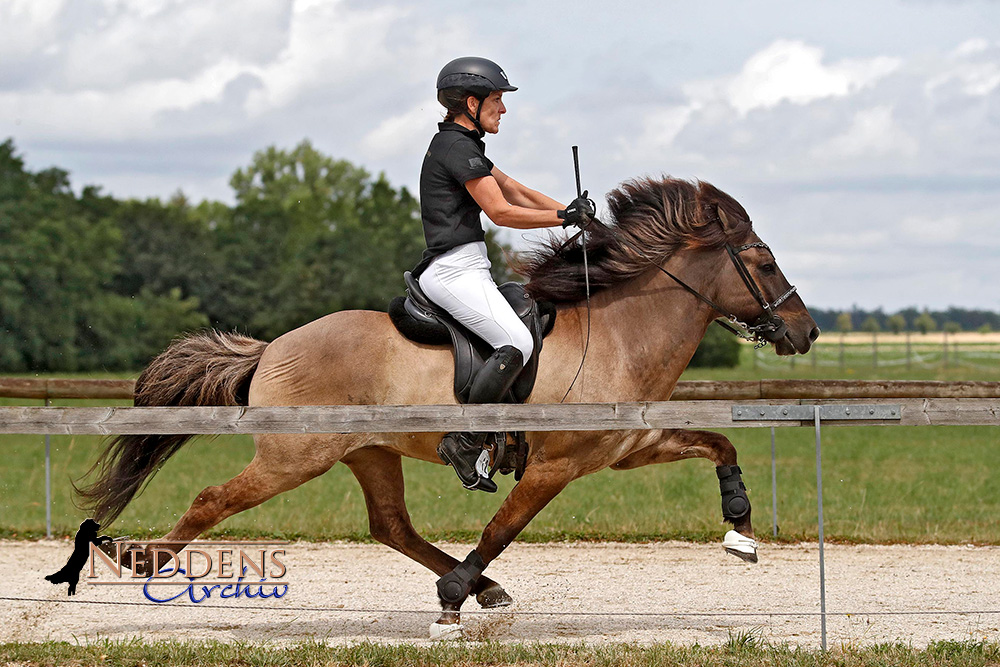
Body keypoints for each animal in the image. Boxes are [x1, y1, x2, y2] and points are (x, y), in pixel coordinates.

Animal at [80, 176, 820, 636]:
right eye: (764, 262)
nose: (806, 332)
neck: (618, 334)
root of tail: (272, 348)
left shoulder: (625, 448)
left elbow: (719, 443)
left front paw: (740, 527)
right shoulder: (554, 467)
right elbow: (500, 527)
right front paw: (452, 600)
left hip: (370, 452)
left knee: (390, 526)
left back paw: (485, 588)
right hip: (294, 456)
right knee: (213, 498)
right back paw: (139, 562)